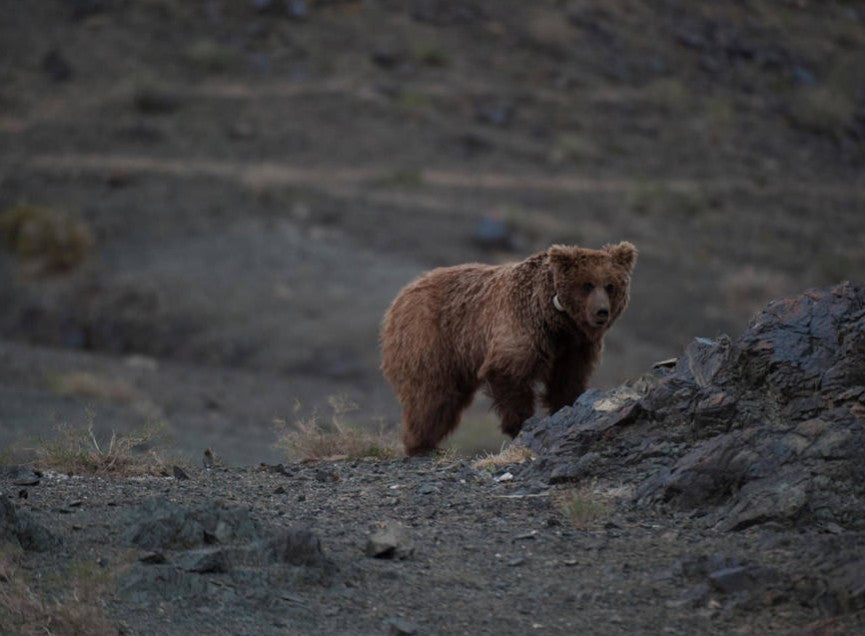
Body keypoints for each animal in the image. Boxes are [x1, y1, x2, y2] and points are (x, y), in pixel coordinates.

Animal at [380, 241, 637, 456]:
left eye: (611, 286)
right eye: (587, 284)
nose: (601, 312)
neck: (557, 322)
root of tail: (402, 295)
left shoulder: (575, 348)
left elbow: (568, 381)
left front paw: (565, 407)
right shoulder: (521, 325)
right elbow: (509, 374)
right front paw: (521, 425)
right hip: (431, 338)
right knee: (432, 394)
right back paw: (421, 444)